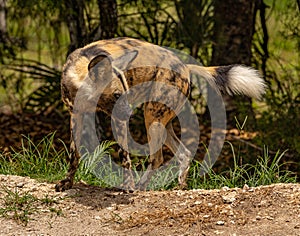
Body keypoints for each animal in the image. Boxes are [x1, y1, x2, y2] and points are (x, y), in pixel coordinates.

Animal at [55, 37, 266, 192]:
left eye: (126, 92)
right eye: (116, 94)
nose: (130, 112)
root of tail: (185, 66)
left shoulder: (118, 120)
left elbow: (125, 158)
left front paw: (128, 186)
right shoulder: (76, 116)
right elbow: (74, 154)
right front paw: (67, 183)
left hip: (151, 119)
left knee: (157, 158)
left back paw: (141, 186)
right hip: (162, 123)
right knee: (184, 153)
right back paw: (180, 186)